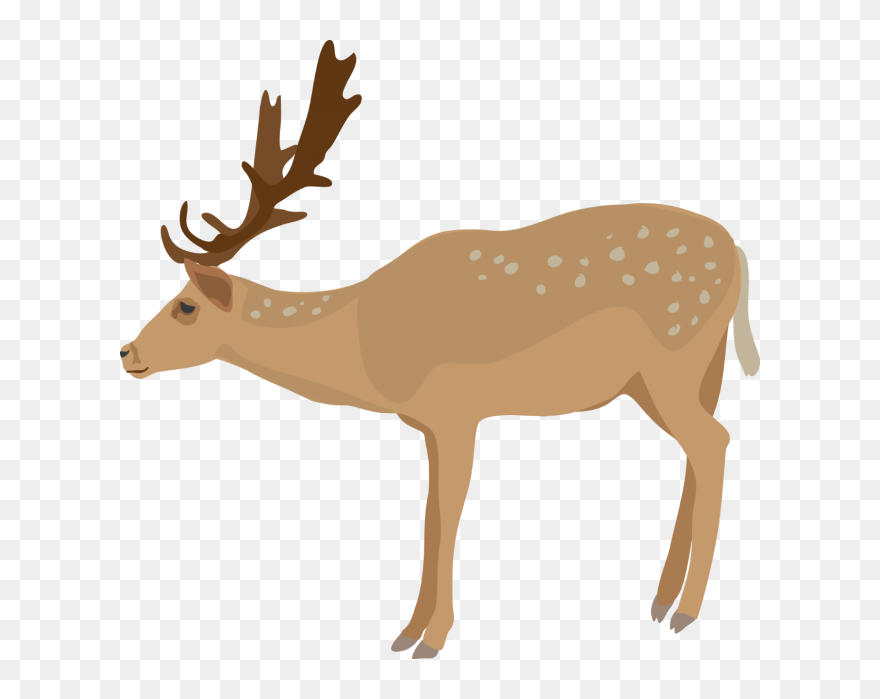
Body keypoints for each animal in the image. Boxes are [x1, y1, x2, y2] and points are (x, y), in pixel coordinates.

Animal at [120, 40, 760, 659]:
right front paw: (409, 633)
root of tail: (739, 255)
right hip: (680, 374)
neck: (366, 346)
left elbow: (442, 516)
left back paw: (685, 611)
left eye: (185, 305)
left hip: (673, 358)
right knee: (701, 447)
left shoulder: (456, 410)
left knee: (713, 443)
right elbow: (431, 514)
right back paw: (660, 600)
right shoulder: (429, 422)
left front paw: (427, 639)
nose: (126, 352)